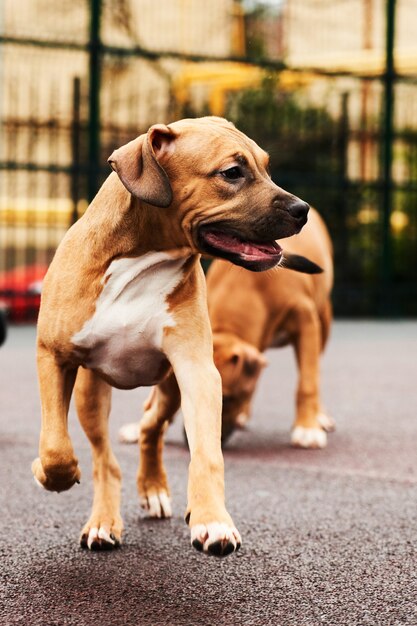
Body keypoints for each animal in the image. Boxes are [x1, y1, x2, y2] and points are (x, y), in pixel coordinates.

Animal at [33, 114, 312, 552]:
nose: (303, 209)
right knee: (104, 459)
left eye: (267, 167)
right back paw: (103, 521)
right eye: (232, 173)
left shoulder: (196, 369)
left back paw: (154, 489)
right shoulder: (53, 356)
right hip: (91, 394)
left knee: (151, 428)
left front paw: (212, 518)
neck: (140, 258)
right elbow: (56, 447)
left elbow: (207, 452)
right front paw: (49, 474)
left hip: (169, 387)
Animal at [208, 207, 334, 446]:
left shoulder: (306, 323)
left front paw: (307, 427)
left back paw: (319, 415)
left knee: (316, 371)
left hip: (323, 321)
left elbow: (308, 382)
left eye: (227, 398)